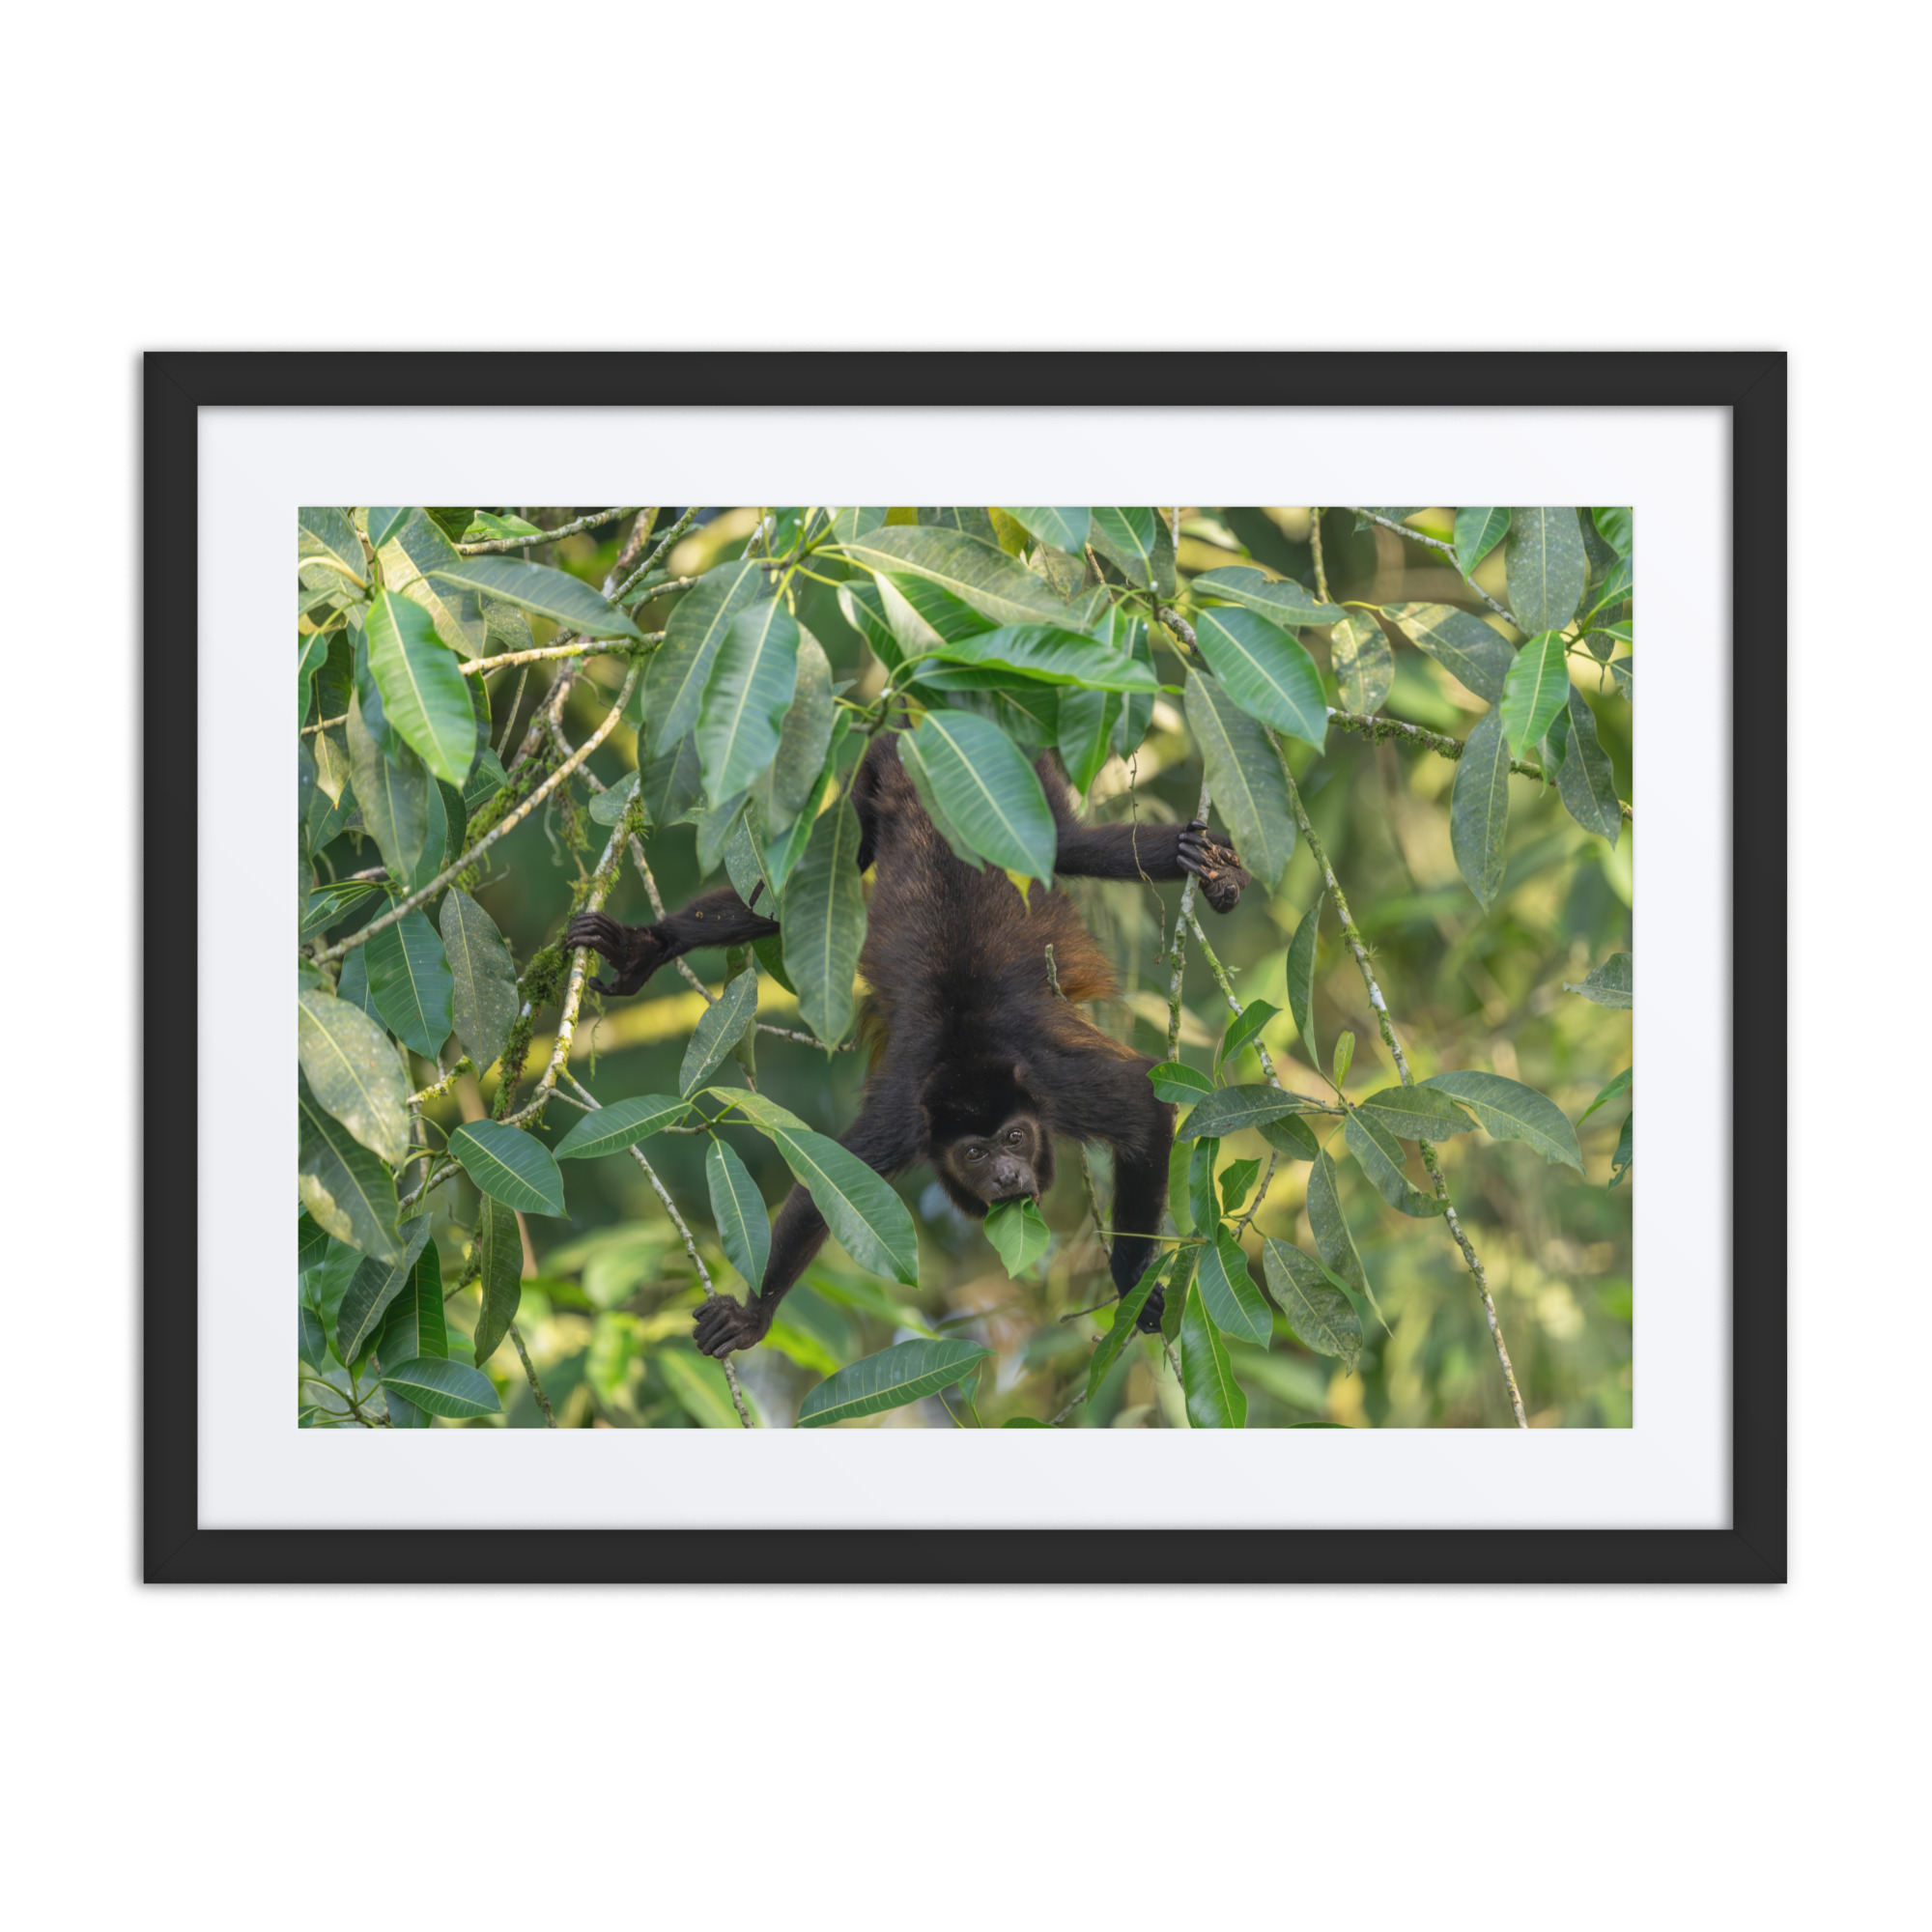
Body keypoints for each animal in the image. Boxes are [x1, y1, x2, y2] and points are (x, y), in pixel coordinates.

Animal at [566, 730, 1249, 1358]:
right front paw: (753, 1316)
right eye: (974, 1153)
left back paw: (1207, 865)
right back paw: (647, 946)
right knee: (805, 887)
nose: (1006, 1175)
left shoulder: (1056, 1086)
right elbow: (828, 1186)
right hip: (870, 792)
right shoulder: (905, 1119)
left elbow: (1143, 1104)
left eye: (1015, 1138)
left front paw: (1132, 1280)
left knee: (1077, 845)